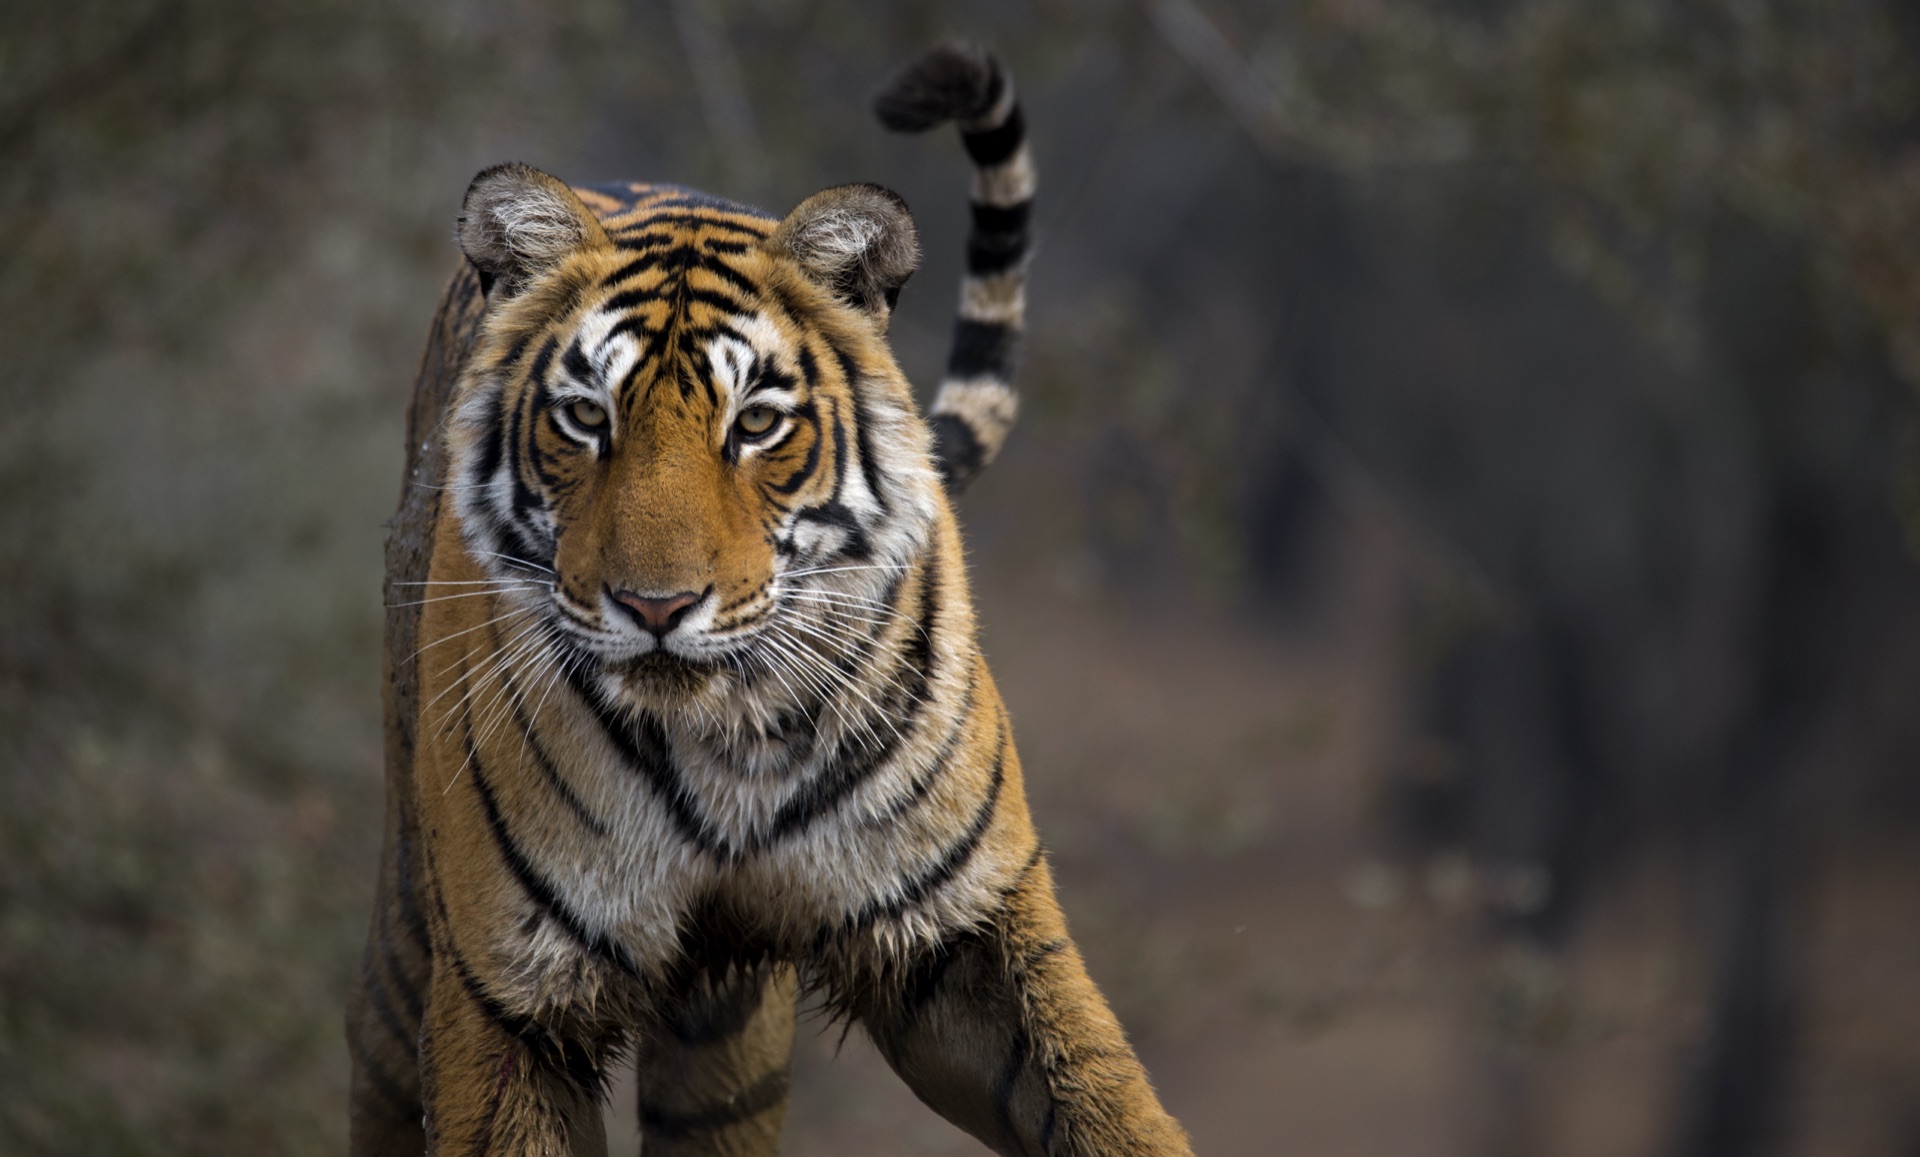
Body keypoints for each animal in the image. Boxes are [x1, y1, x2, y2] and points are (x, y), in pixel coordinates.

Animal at [346, 43, 1194, 1157]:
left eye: (755, 424)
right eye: (585, 417)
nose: (656, 606)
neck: (727, 741)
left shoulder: (965, 924)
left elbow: (1104, 1100)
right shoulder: (511, 994)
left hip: (727, 1046)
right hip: (412, 926)